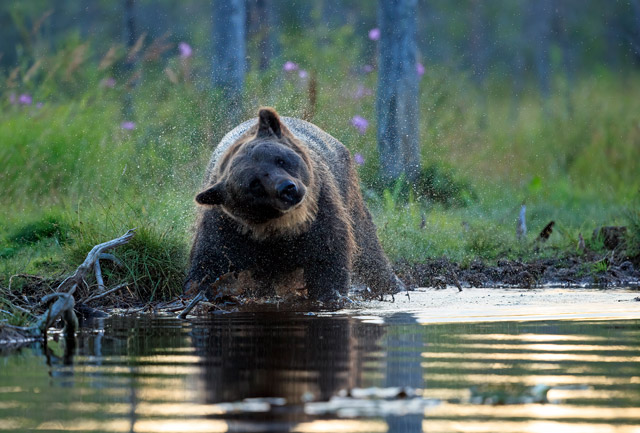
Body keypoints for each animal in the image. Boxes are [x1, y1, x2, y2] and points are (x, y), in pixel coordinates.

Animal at [186, 107, 403, 302]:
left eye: (280, 160)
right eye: (254, 183)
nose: (287, 188)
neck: (281, 228)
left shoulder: (320, 211)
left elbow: (327, 254)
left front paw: (329, 294)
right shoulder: (226, 226)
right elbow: (209, 260)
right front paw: (198, 293)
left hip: (347, 191)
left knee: (367, 244)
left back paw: (393, 285)